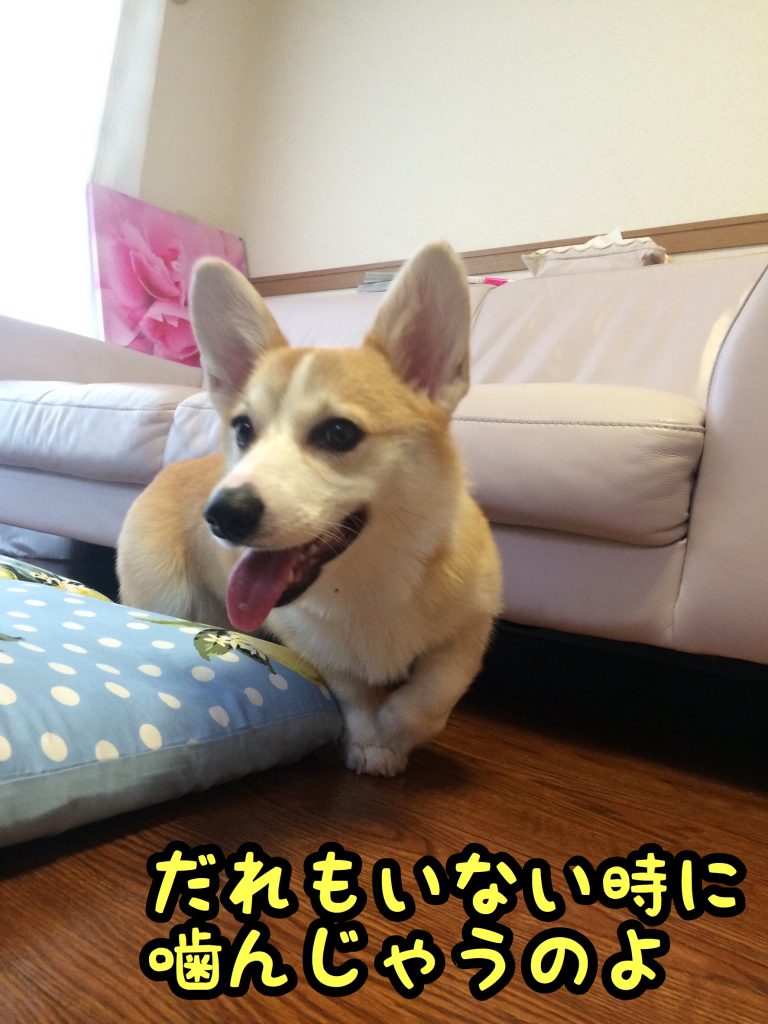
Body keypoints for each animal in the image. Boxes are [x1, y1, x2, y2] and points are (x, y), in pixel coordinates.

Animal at [117, 242, 501, 776]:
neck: (370, 577)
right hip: (169, 600)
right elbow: (353, 692)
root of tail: (167, 472)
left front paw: (393, 735)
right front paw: (369, 738)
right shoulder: (319, 649)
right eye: (243, 429)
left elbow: (432, 696)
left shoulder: (470, 629)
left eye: (339, 433)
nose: (222, 516)